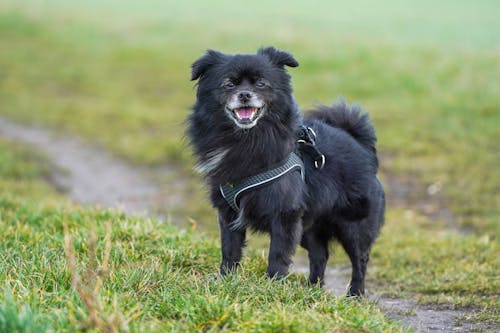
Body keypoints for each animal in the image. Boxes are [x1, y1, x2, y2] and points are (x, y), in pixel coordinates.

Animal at [188, 47, 382, 296]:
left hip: (352, 225)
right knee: (320, 255)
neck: (245, 140)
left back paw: (354, 294)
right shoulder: (228, 213)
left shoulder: (285, 214)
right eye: (229, 84)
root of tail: (360, 146)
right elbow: (229, 249)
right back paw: (312, 290)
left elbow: (278, 253)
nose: (244, 95)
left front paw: (272, 284)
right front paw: (225, 279)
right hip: (310, 226)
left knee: (360, 260)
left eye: (261, 83)